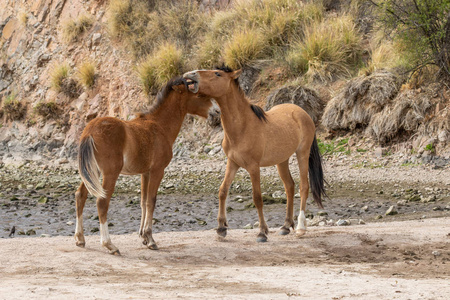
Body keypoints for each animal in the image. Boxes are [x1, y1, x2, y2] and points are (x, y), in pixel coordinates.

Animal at [74, 77, 214, 253]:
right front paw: (150, 239)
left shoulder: (145, 173)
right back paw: (109, 244)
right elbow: (151, 201)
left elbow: (143, 202)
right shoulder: (157, 171)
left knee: (80, 195)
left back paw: (80, 239)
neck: (159, 125)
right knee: (102, 202)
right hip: (110, 174)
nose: (215, 113)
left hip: (92, 172)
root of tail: (90, 131)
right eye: (200, 95)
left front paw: (143, 237)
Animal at [183, 67, 326, 243]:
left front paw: (262, 232)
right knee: (289, 186)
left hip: (302, 154)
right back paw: (285, 226)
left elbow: (257, 198)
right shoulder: (232, 162)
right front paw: (221, 229)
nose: (190, 74)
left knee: (303, 186)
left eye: (217, 73)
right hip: (282, 160)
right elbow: (223, 191)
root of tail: (302, 113)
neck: (243, 127)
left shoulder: (253, 167)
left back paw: (300, 228)